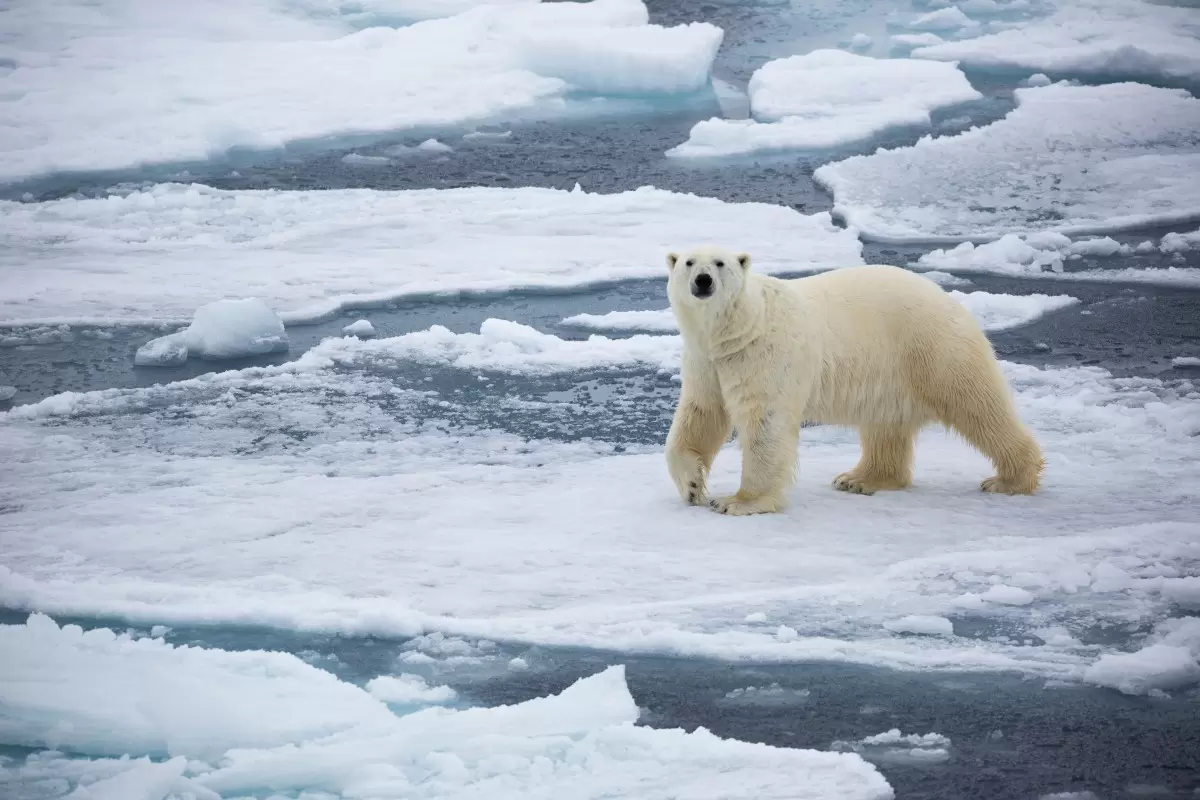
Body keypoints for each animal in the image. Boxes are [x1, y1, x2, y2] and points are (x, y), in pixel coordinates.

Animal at [662, 247, 1046, 515]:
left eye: (720, 263)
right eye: (689, 262)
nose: (703, 280)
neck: (739, 328)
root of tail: (949, 298)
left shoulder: (763, 355)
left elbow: (764, 425)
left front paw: (738, 501)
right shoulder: (707, 361)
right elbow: (702, 414)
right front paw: (692, 486)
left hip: (933, 348)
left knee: (977, 405)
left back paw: (1010, 479)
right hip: (893, 372)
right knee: (886, 425)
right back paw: (860, 478)